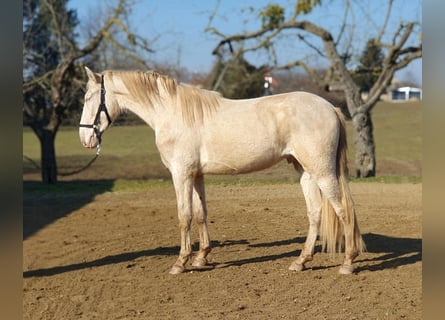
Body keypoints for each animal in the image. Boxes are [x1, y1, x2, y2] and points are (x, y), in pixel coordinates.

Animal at [80, 67, 364, 276]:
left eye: (88, 97)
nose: (85, 139)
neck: (171, 113)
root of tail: (329, 107)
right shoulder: (196, 175)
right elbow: (200, 214)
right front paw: (201, 258)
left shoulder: (181, 174)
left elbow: (184, 216)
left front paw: (180, 263)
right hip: (306, 172)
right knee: (315, 213)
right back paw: (300, 262)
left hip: (323, 172)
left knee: (343, 210)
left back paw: (347, 263)